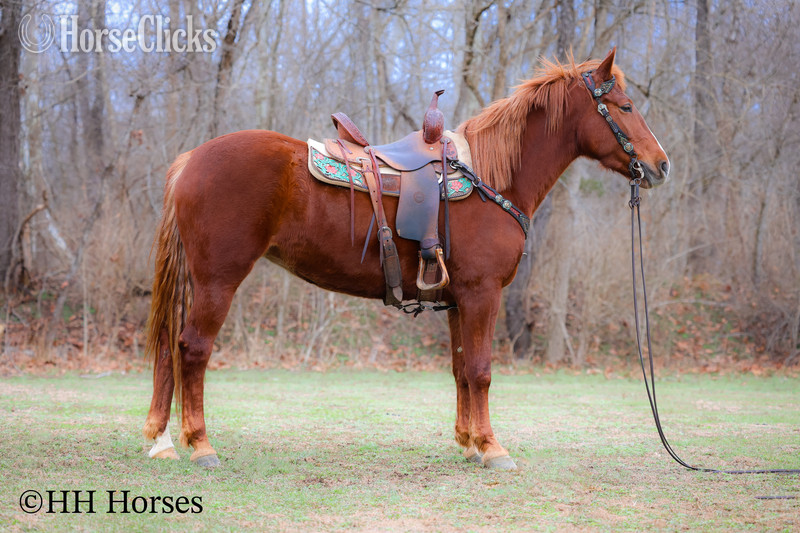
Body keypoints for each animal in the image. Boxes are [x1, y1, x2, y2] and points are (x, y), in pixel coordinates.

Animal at [142, 48, 669, 469]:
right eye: (625, 107)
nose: (661, 165)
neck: (492, 178)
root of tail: (190, 160)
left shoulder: (458, 301)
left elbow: (462, 370)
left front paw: (469, 442)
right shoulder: (482, 295)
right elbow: (482, 371)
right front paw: (494, 449)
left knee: (170, 348)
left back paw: (162, 440)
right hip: (218, 281)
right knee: (192, 349)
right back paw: (201, 444)